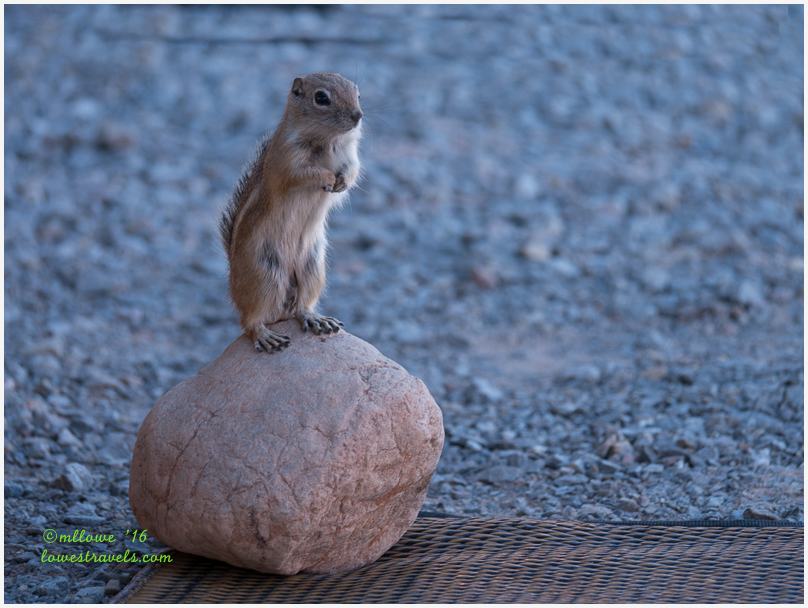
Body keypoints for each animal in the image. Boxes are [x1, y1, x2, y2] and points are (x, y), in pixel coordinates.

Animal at [220, 72, 363, 353]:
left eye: (357, 94)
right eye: (321, 98)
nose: (358, 115)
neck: (327, 140)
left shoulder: (350, 157)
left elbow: (352, 171)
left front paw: (341, 182)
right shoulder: (288, 160)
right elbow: (303, 174)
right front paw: (328, 178)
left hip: (312, 269)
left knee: (301, 307)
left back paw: (316, 319)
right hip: (264, 275)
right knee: (249, 322)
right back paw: (265, 335)